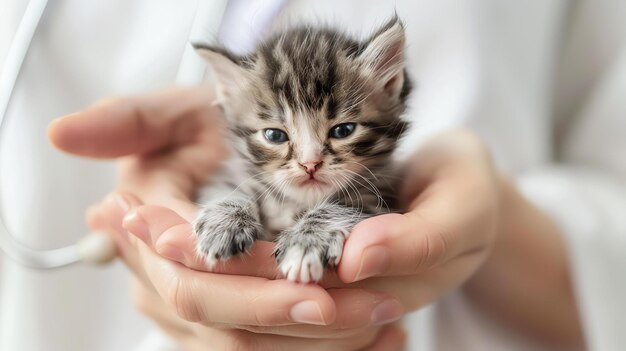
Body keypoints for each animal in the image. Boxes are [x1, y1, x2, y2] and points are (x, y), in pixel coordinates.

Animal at [193, 16, 412, 284]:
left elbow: (340, 206)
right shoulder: (226, 176)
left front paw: (306, 243)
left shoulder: (381, 200)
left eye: (343, 130)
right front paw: (223, 224)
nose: (310, 164)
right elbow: (228, 190)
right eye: (275, 135)